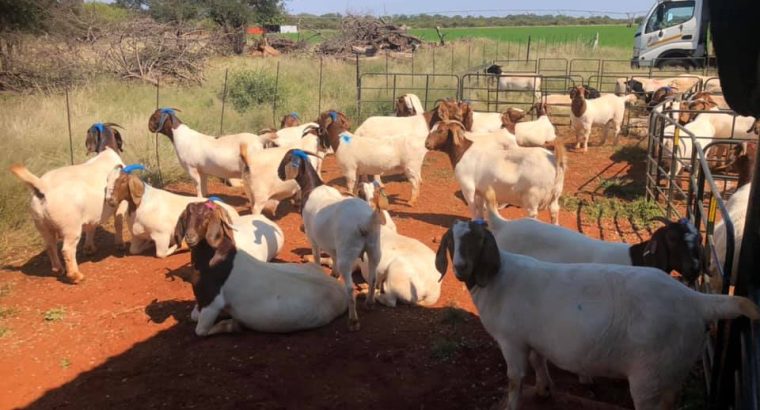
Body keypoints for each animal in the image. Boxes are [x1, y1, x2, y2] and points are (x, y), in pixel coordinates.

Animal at [174, 201, 347, 336]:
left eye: (207, 217)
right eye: (188, 214)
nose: (190, 236)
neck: (217, 259)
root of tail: (341, 292)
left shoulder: (212, 301)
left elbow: (200, 329)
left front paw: (233, 325)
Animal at [278, 148, 384, 331]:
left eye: (285, 158)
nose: (279, 174)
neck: (312, 187)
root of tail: (365, 223)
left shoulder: (312, 236)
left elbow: (317, 257)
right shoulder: (332, 243)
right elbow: (332, 256)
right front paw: (333, 274)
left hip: (347, 254)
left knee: (350, 289)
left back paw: (353, 321)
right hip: (374, 248)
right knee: (372, 277)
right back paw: (369, 304)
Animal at [425, 120, 567, 224]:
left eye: (441, 130)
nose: (427, 144)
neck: (463, 152)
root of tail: (554, 160)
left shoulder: (468, 187)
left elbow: (472, 206)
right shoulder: (480, 191)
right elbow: (480, 207)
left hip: (532, 196)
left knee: (533, 214)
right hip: (556, 193)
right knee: (554, 211)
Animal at [436, 220, 760, 410]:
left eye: (479, 241)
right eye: (451, 242)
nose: (460, 268)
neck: (498, 279)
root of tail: (696, 300)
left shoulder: (512, 340)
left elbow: (515, 381)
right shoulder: (533, 337)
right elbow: (539, 362)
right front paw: (544, 389)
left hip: (651, 376)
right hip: (671, 373)